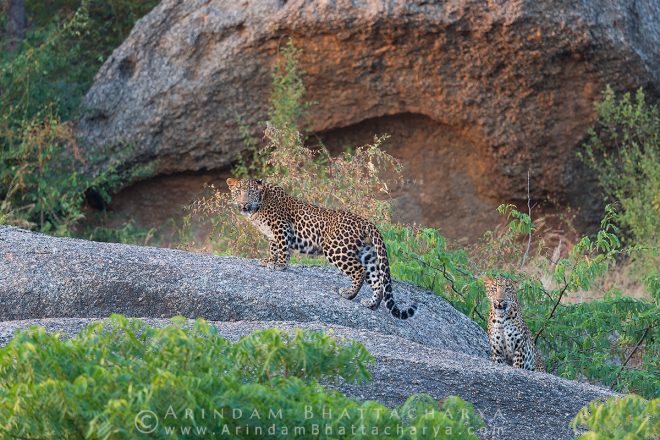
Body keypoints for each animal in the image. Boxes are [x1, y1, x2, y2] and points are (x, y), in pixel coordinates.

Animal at [226, 178, 417, 320]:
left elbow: (282, 247)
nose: (243, 204)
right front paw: (269, 260)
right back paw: (371, 304)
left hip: (336, 248)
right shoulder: (271, 233)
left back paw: (349, 294)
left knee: (360, 271)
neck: (259, 204)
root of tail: (366, 222)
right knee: (377, 279)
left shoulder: (281, 227)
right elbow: (273, 248)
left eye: (250, 192)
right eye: (238, 192)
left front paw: (280, 265)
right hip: (367, 254)